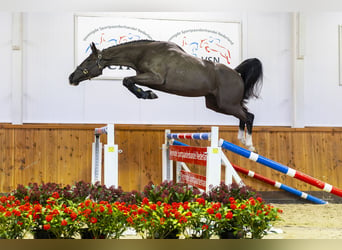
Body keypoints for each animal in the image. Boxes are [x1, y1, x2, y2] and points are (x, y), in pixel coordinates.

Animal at [69, 40, 262, 151]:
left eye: (88, 61)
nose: (71, 78)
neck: (143, 53)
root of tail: (237, 74)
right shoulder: (148, 78)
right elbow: (128, 81)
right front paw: (147, 93)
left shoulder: (156, 78)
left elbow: (127, 80)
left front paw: (147, 95)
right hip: (217, 104)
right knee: (244, 113)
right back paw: (241, 139)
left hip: (226, 104)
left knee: (249, 116)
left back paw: (250, 145)